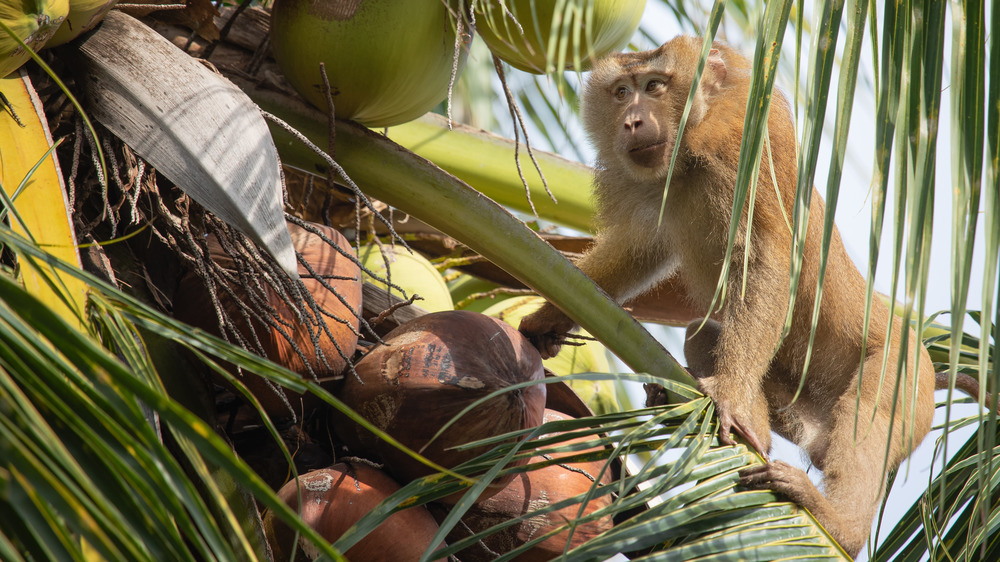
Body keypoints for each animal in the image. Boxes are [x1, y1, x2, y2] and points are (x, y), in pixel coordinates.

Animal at [520, 36, 988, 556]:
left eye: (655, 86)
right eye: (622, 92)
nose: (631, 121)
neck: (688, 158)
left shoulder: (745, 147)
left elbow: (767, 265)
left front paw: (728, 394)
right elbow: (640, 250)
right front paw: (549, 317)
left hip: (904, 373)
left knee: (868, 413)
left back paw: (839, 525)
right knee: (702, 336)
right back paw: (753, 432)